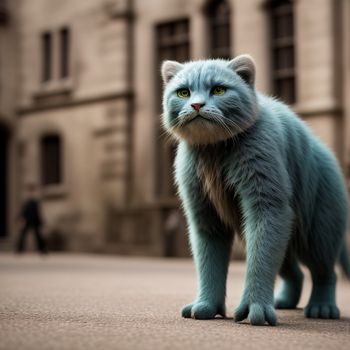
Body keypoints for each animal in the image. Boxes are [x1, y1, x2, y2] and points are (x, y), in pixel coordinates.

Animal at [161, 54, 350, 326]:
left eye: (218, 90)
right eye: (183, 92)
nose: (196, 105)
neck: (214, 153)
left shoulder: (267, 207)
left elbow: (259, 262)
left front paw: (255, 309)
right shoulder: (205, 217)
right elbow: (209, 264)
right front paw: (205, 307)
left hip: (318, 232)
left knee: (324, 273)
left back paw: (321, 308)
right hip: (287, 235)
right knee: (294, 273)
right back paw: (284, 302)